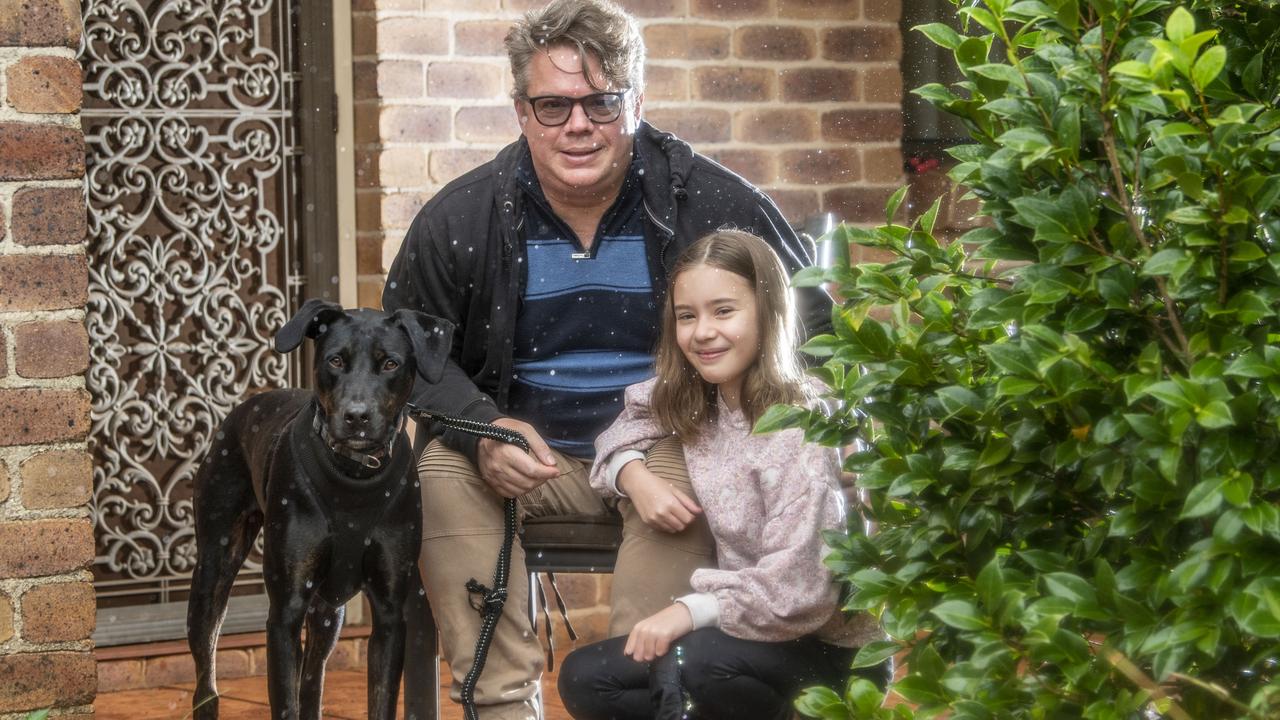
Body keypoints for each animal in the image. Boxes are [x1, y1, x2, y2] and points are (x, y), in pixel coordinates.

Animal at [185, 294, 453, 712]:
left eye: (390, 363)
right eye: (335, 360)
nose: (357, 416)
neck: (354, 473)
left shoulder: (390, 614)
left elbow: (379, 699)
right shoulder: (286, 611)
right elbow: (285, 701)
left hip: (329, 612)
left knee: (312, 682)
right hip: (214, 568)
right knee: (206, 673)